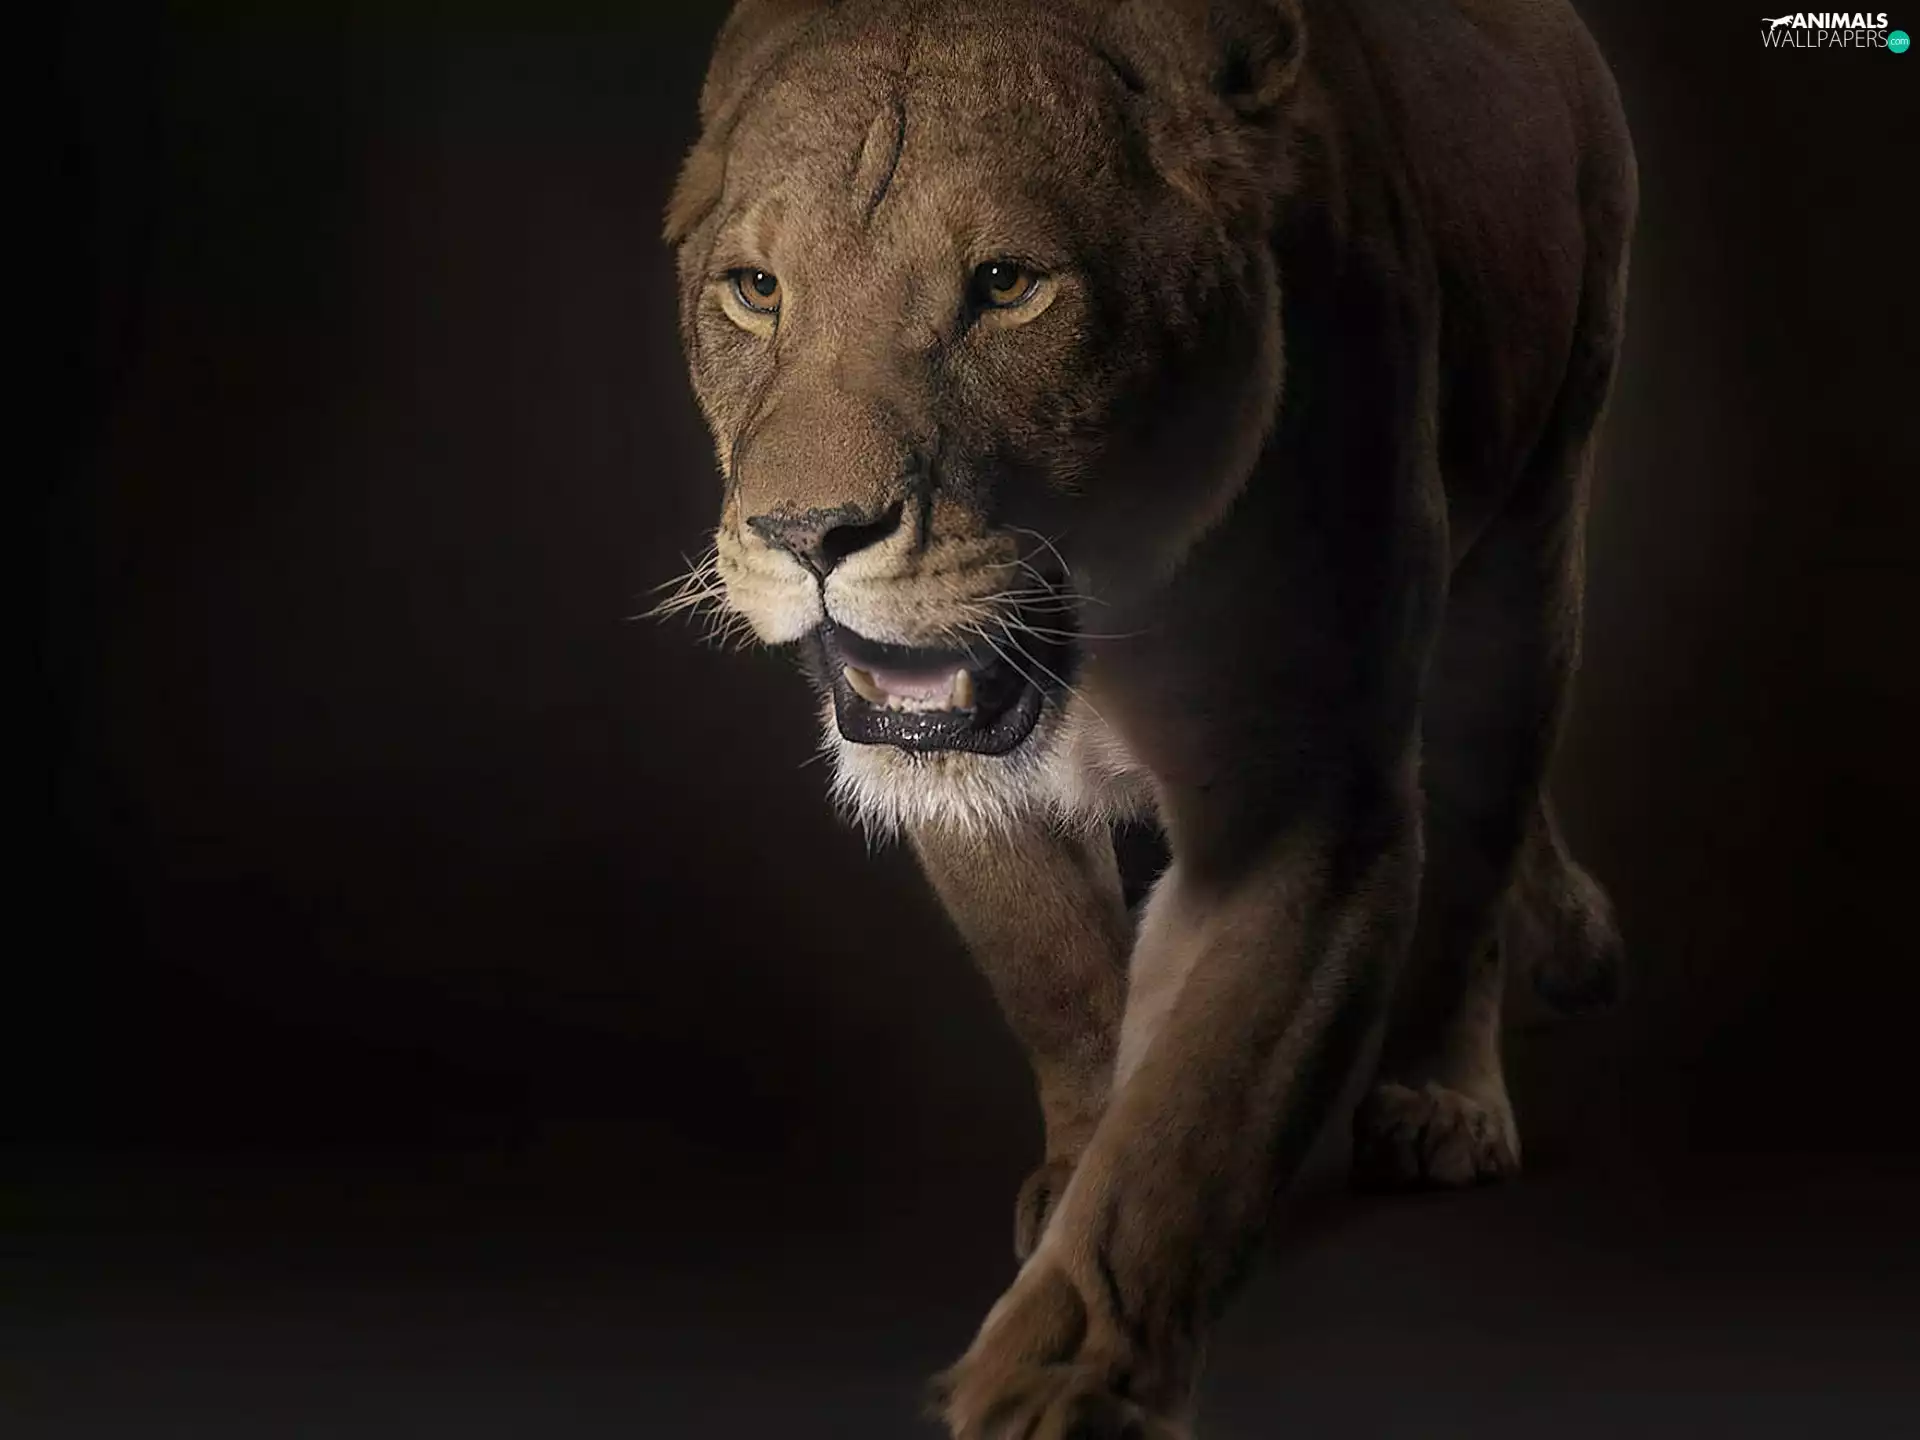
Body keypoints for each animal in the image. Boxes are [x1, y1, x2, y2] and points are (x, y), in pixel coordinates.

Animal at [660, 0, 1635, 1433]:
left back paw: (1441, 1101)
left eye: (1008, 286)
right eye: (756, 288)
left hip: (1535, 537)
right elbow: (1064, 985)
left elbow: (1193, 1126)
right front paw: (1071, 1172)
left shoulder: (1309, 807)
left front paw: (1059, 1382)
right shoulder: (970, 794)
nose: (807, 534)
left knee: (1480, 831)